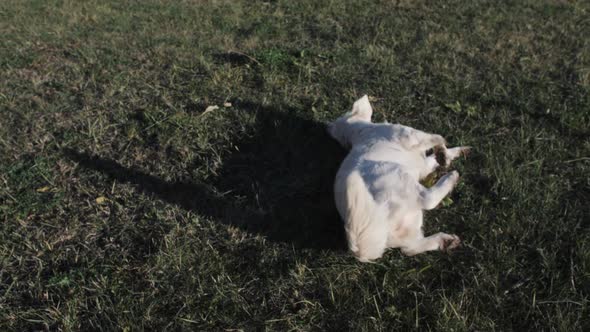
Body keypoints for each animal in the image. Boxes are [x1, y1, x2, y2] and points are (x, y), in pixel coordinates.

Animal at [328, 95, 472, 262]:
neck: (360, 133)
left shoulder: (422, 165)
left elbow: (433, 158)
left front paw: (454, 153)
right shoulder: (408, 134)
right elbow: (437, 138)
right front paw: (443, 152)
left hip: (409, 224)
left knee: (410, 249)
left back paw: (444, 241)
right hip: (400, 178)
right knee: (428, 199)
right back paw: (451, 178)